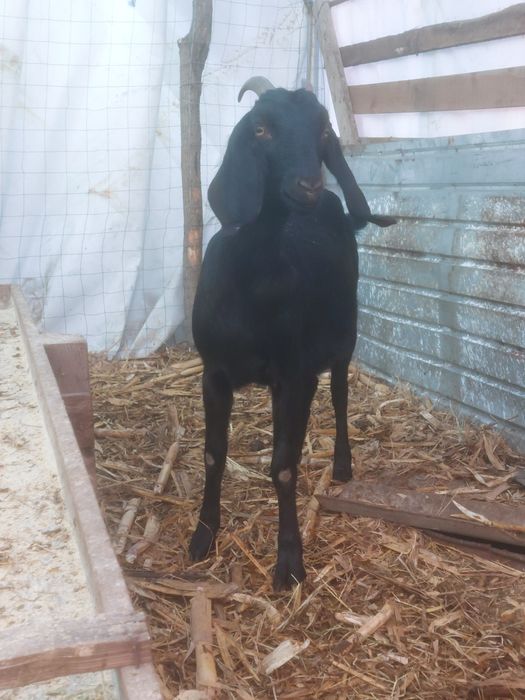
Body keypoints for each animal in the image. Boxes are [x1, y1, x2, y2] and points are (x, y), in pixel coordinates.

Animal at [189, 77, 396, 590]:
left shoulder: (294, 375)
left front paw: (289, 561)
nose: (308, 186)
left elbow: (283, 467)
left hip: (344, 336)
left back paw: (342, 465)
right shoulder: (214, 372)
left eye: (322, 131)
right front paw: (203, 535)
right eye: (261, 128)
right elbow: (213, 454)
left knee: (339, 395)